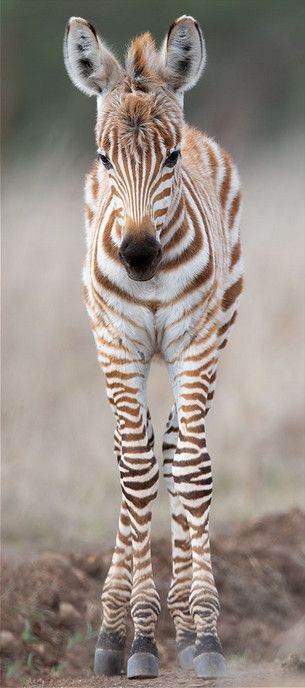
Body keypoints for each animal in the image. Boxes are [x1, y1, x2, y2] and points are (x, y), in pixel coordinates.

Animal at [63, 13, 242, 680]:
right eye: (103, 157)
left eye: (170, 158)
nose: (138, 256)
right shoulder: (119, 345)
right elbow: (136, 473)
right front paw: (137, 637)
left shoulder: (195, 342)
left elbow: (190, 470)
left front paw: (204, 634)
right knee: (132, 452)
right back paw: (114, 629)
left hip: (216, 332)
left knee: (178, 447)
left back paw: (187, 627)